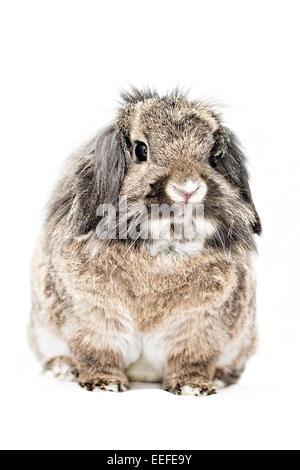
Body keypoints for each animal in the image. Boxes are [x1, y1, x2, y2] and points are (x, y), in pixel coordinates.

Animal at [29, 86, 262, 394]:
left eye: (214, 156)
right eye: (141, 150)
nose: (188, 189)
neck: (166, 249)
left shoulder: (200, 331)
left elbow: (192, 361)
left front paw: (192, 388)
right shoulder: (93, 324)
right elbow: (97, 355)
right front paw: (105, 384)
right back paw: (64, 370)